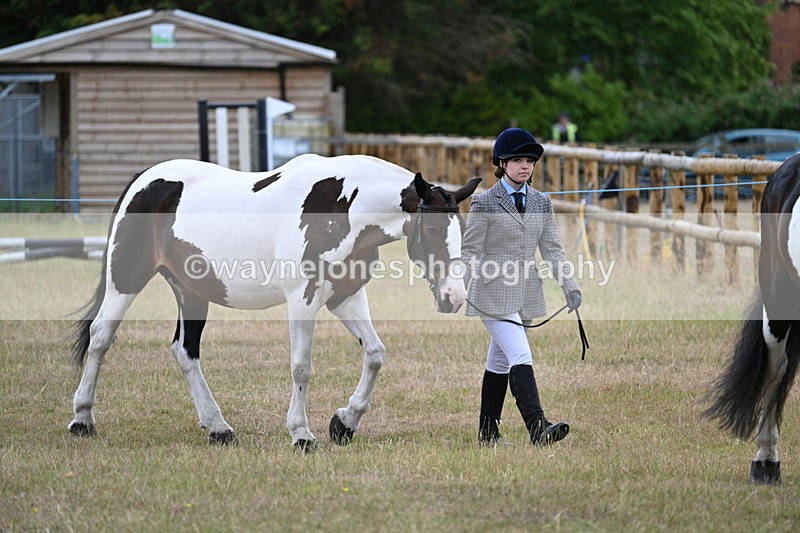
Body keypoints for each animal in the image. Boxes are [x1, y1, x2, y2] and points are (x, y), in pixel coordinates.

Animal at [69, 153, 481, 451]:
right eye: (432, 229)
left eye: (461, 230)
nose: (453, 297)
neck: (342, 206)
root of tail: (144, 180)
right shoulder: (303, 299)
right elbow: (302, 367)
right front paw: (301, 434)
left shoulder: (345, 297)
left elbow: (376, 354)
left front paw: (344, 423)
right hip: (126, 279)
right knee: (100, 337)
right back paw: (82, 419)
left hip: (192, 291)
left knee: (185, 352)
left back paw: (218, 428)